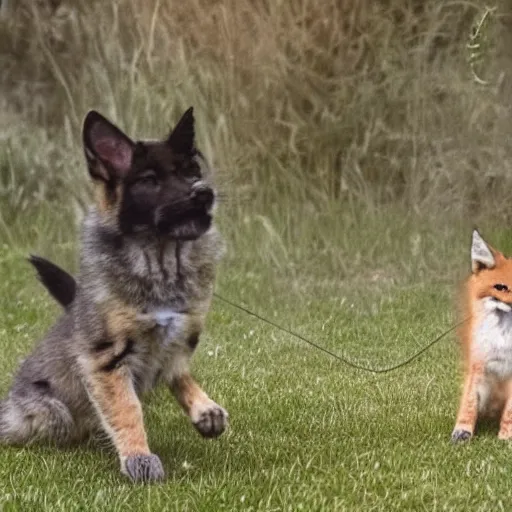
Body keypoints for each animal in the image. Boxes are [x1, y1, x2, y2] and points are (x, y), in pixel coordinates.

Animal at [0, 106, 228, 482]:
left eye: (191, 171)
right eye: (149, 180)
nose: (204, 192)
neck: (159, 263)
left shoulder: (179, 338)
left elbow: (178, 372)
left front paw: (204, 408)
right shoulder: (107, 359)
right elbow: (127, 409)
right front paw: (139, 457)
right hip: (52, 415)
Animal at [452, 230, 512, 442]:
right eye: (501, 287)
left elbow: (509, 412)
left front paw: (505, 437)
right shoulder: (478, 364)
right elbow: (469, 403)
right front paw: (463, 431)